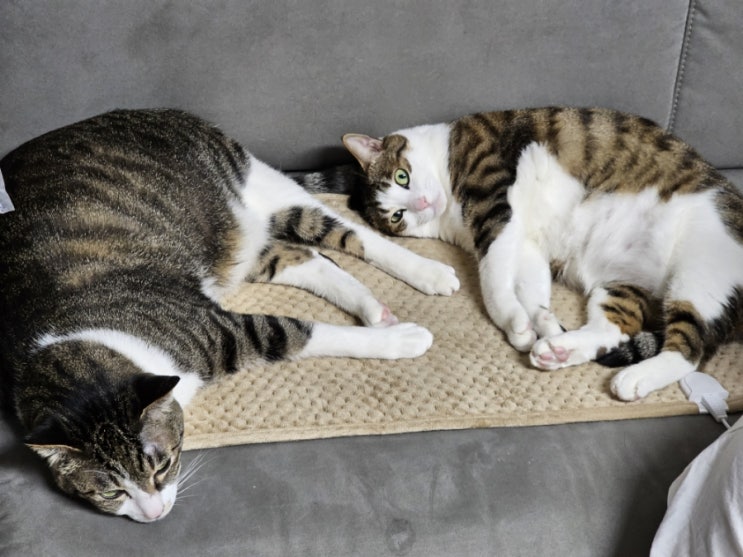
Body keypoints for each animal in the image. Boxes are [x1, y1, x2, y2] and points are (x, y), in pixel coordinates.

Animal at [0, 109, 459, 522]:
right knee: (309, 257)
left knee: (353, 234)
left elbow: (303, 330)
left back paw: (429, 273)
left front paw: (405, 339)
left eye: (161, 466)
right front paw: (393, 331)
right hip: (244, 251)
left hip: (264, 188)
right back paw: (374, 308)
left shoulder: (220, 327)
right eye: (111, 492)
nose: (153, 515)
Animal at [335, 106, 743, 402]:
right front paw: (539, 322)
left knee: (692, 350)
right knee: (614, 328)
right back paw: (558, 349)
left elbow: (493, 278)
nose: (422, 203)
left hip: (699, 274)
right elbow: (530, 286)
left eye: (402, 176)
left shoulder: (494, 206)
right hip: (623, 282)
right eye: (397, 216)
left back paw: (634, 378)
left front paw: (513, 320)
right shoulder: (526, 241)